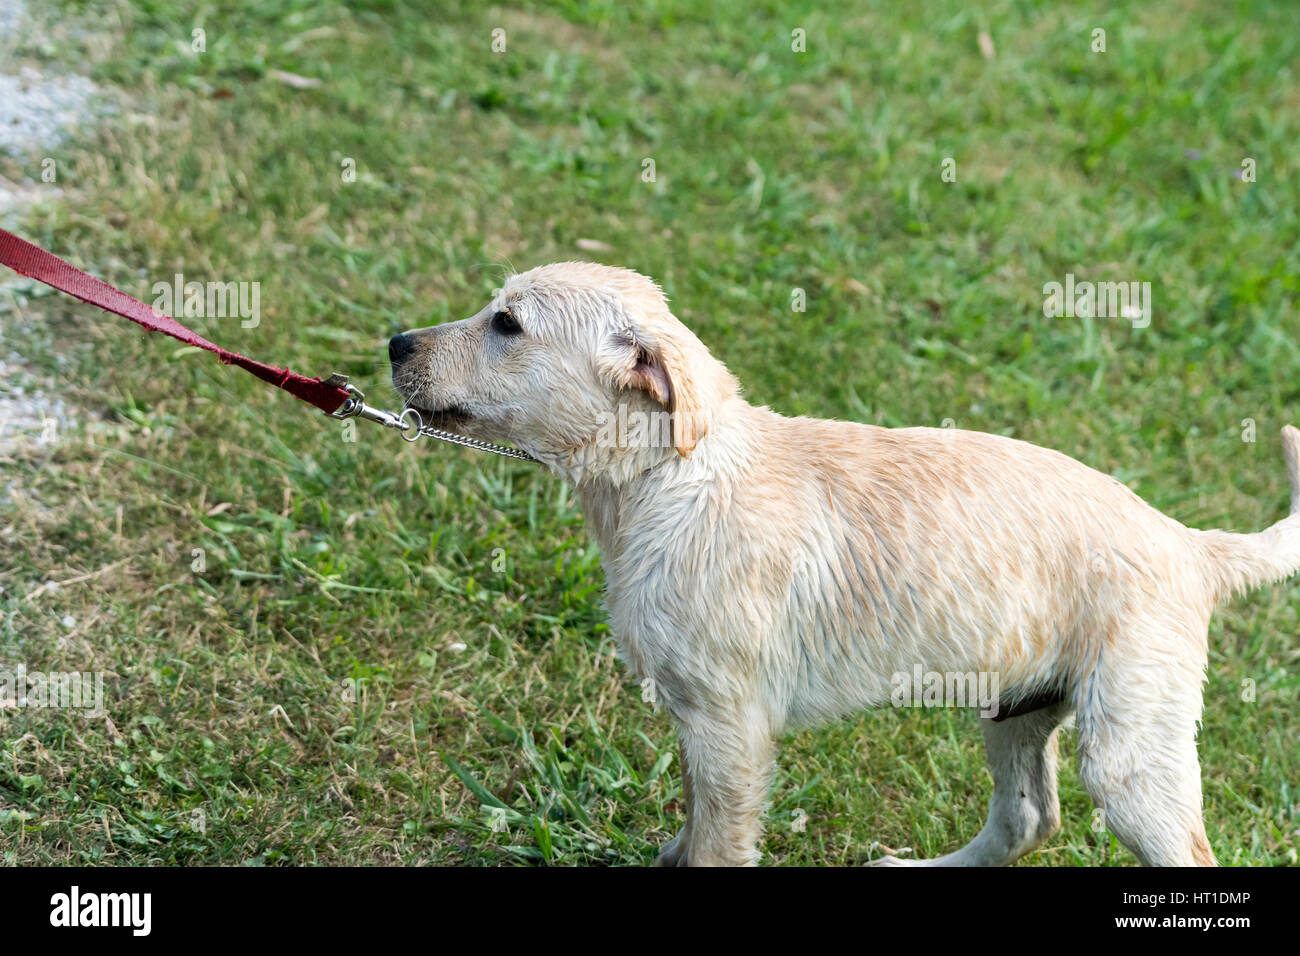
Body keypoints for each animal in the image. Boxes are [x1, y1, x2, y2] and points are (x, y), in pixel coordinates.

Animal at [387, 261, 1300, 868]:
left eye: (507, 325)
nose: (393, 342)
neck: (672, 475)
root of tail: (1188, 541)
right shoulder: (703, 729)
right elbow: (695, 825)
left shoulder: (729, 727)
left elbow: (717, 843)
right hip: (1015, 706)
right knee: (1028, 820)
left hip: (1130, 751)